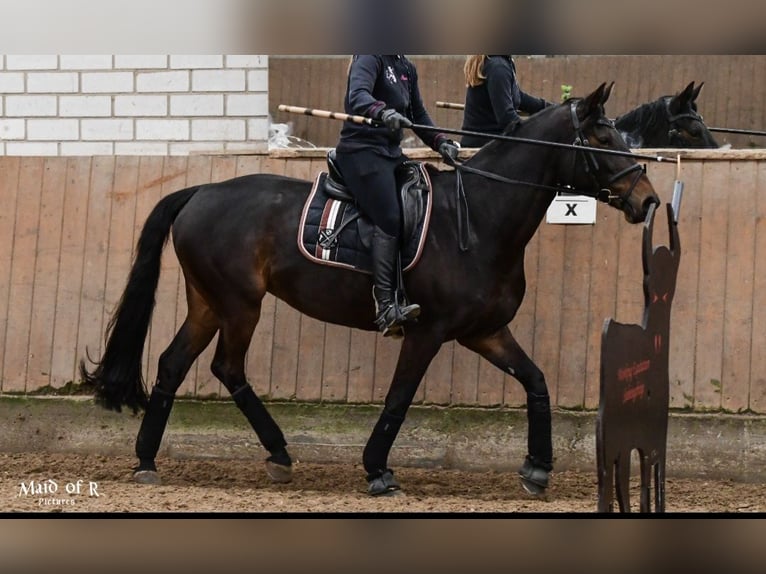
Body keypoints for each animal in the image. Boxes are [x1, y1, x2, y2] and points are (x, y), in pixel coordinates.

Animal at [81, 82, 664, 500]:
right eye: (604, 139)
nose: (649, 201)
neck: (479, 217)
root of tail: (202, 190)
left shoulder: (485, 332)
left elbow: (536, 382)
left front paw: (538, 469)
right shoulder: (428, 331)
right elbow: (399, 398)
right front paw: (378, 471)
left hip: (208, 303)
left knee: (172, 364)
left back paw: (150, 460)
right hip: (238, 304)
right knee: (226, 368)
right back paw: (274, 453)